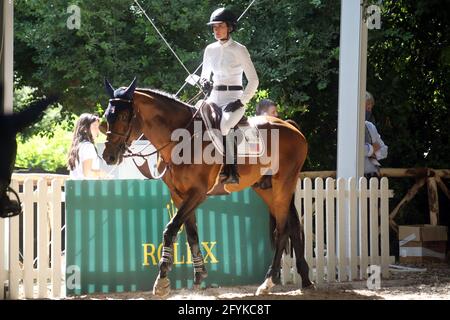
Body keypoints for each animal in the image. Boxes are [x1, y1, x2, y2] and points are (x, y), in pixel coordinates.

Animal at [102, 78, 312, 298]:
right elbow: (191, 232)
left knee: (282, 230)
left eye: (124, 116)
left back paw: (268, 282)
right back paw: (305, 280)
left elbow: (171, 229)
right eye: (107, 115)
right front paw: (199, 272)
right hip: (266, 189)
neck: (181, 138)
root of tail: (290, 126)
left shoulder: (197, 193)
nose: (108, 156)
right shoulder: (179, 195)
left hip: (283, 186)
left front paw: (162, 280)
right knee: (293, 226)